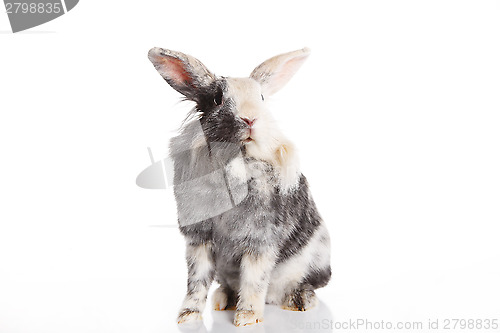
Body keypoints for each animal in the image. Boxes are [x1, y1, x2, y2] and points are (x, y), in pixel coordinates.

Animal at [147, 46, 332, 326]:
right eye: (217, 99)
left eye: (262, 97)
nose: (250, 119)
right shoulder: (199, 239)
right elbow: (196, 280)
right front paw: (187, 317)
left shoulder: (260, 240)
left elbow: (254, 280)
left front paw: (247, 318)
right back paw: (222, 300)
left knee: (302, 285)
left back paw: (298, 302)